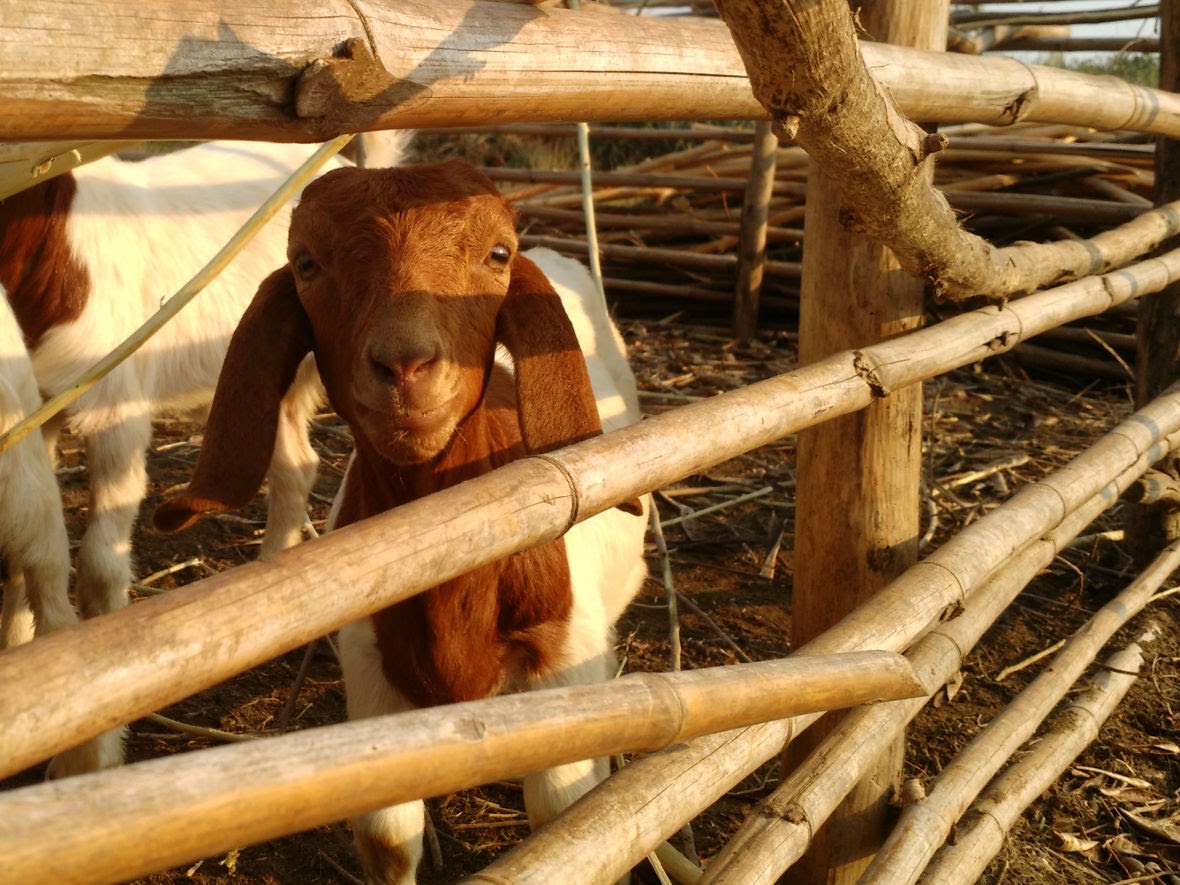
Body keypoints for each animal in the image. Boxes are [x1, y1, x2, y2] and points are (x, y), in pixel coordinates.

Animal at [154, 160, 649, 884]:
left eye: (497, 255)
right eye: (307, 263)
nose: (405, 365)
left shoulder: (564, 665)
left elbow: (562, 818)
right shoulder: (371, 671)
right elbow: (387, 837)